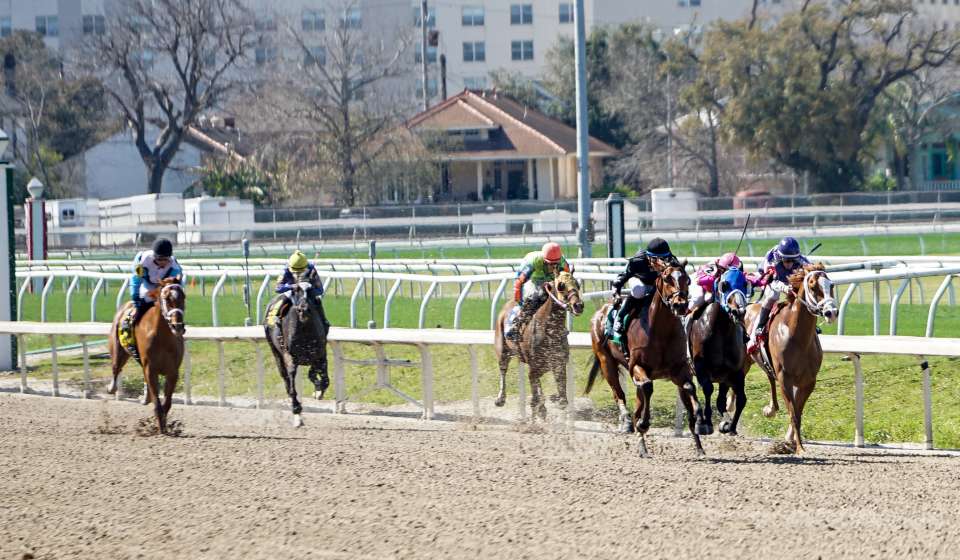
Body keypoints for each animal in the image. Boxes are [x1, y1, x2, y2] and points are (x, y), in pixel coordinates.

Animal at [108, 278, 187, 434]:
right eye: (167, 298)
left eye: (183, 297)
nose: (178, 326)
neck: (162, 337)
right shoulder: (151, 369)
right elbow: (157, 402)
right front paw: (160, 427)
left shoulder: (173, 372)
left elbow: (167, 403)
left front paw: (164, 425)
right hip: (118, 351)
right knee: (116, 368)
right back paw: (112, 388)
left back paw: (145, 398)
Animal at [496, 272, 584, 420]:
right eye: (561, 286)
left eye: (577, 284)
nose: (578, 305)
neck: (549, 330)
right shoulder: (535, 365)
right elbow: (536, 391)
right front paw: (540, 409)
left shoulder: (559, 363)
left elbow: (562, 398)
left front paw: (554, 398)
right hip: (502, 349)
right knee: (503, 369)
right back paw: (500, 398)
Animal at [580, 262, 708, 456]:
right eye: (666, 278)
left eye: (687, 279)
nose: (680, 304)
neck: (660, 330)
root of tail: (600, 312)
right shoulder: (637, 366)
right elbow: (647, 387)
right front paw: (644, 423)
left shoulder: (678, 369)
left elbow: (689, 387)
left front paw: (700, 421)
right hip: (606, 361)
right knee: (619, 394)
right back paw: (627, 423)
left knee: (639, 404)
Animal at [688, 266, 752, 438]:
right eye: (724, 285)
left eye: (745, 283)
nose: (739, 311)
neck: (722, 330)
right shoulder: (701, 367)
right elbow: (708, 389)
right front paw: (706, 423)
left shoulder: (735, 371)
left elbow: (740, 399)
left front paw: (730, 426)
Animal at [748, 264, 836, 456]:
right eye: (812, 286)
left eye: (831, 285)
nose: (831, 312)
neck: (798, 337)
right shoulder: (785, 378)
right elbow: (793, 414)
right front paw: (800, 448)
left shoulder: (808, 381)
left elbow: (798, 412)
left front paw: (792, 443)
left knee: (768, 376)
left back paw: (771, 410)